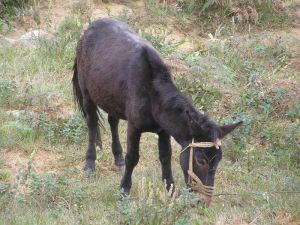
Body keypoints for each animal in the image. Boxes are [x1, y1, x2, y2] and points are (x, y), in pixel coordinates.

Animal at [72, 18, 241, 204]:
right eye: (200, 160)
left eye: (219, 160)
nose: (203, 201)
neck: (153, 94)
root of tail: (92, 25)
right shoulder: (134, 127)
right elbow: (133, 157)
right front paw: (124, 190)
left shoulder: (164, 131)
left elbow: (166, 157)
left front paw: (171, 191)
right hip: (87, 94)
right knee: (92, 123)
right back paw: (90, 164)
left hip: (111, 98)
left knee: (112, 121)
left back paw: (118, 158)